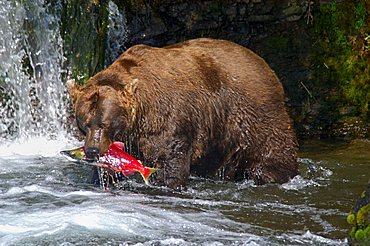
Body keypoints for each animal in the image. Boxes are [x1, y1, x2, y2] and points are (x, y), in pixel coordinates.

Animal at [66, 38, 298, 188]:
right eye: (84, 124)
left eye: (105, 123)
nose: (92, 150)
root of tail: (266, 67)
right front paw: (102, 178)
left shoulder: (168, 120)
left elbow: (170, 158)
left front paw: (167, 182)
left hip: (254, 114)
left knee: (271, 151)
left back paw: (273, 176)